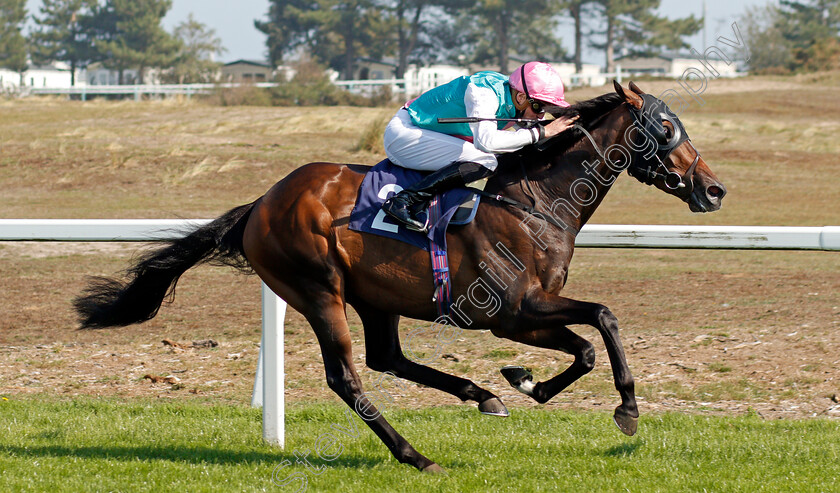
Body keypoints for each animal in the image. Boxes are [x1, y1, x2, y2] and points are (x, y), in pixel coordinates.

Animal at [74, 82, 728, 470]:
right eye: (665, 127)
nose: (714, 189)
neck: (532, 202)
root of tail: (262, 202)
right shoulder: (512, 313)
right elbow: (602, 321)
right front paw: (626, 410)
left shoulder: (527, 313)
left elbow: (587, 345)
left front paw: (524, 383)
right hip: (319, 290)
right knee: (347, 377)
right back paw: (415, 454)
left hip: (375, 297)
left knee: (387, 357)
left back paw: (482, 396)